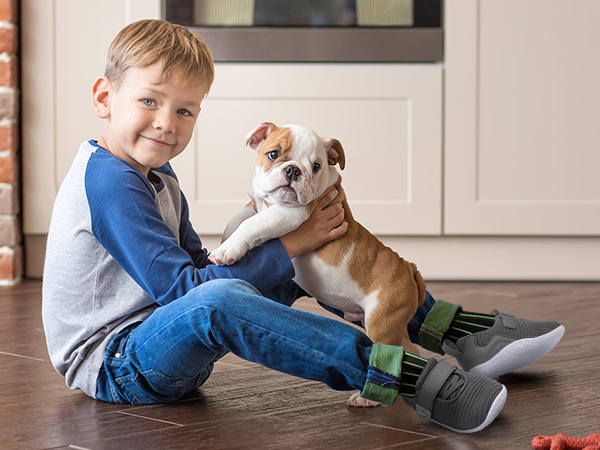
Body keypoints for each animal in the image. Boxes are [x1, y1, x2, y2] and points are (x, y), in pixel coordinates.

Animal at [211, 123, 426, 404]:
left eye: (315, 166)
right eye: (273, 154)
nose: (293, 170)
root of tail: (409, 269)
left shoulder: (290, 213)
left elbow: (253, 223)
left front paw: (226, 251)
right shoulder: (257, 201)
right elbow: (242, 216)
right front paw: (226, 238)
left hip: (382, 322)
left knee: (388, 354)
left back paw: (368, 399)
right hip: (391, 323)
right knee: (409, 351)